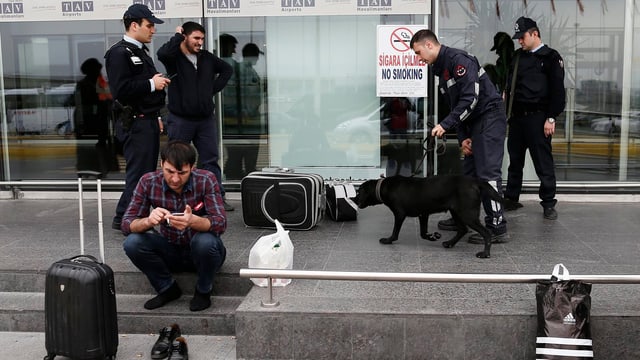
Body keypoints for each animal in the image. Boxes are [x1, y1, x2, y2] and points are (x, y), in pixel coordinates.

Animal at [352, 175, 502, 258]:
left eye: (359, 192)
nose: (353, 199)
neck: (383, 187)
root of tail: (475, 182)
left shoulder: (399, 214)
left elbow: (395, 232)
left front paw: (388, 240)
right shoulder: (423, 214)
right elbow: (423, 233)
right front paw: (432, 236)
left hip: (467, 214)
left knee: (486, 233)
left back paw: (485, 254)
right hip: (456, 212)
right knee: (462, 229)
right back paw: (449, 243)